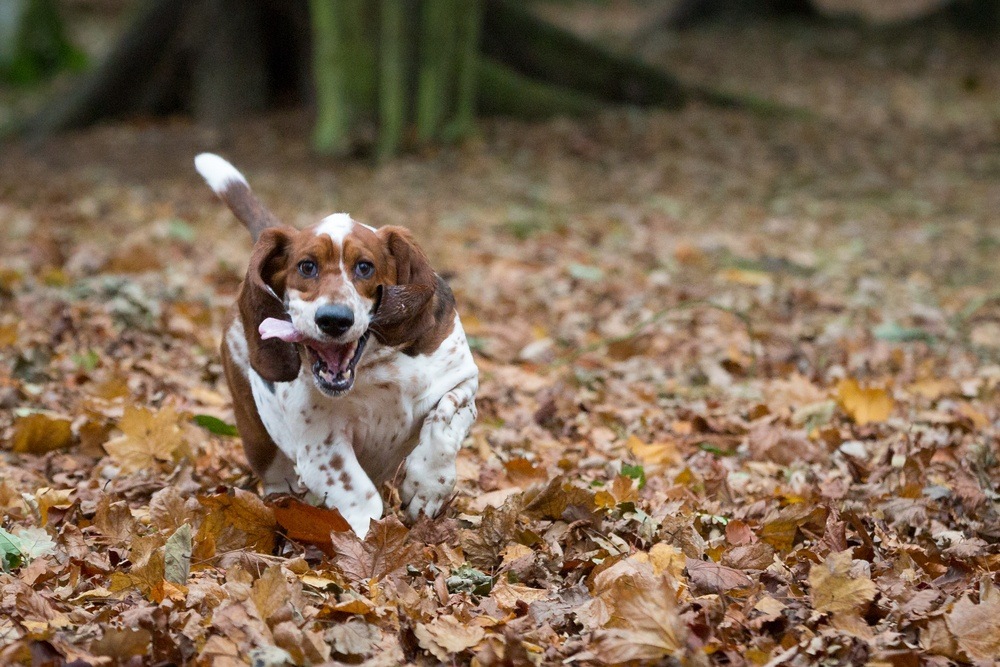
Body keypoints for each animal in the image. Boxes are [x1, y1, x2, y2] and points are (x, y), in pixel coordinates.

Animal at [197, 154, 478, 536]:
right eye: (306, 267)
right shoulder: (321, 446)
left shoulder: (460, 379)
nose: (333, 319)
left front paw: (427, 487)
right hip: (258, 437)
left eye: (365, 267)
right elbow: (359, 495)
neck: (372, 369)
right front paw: (364, 536)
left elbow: (444, 421)